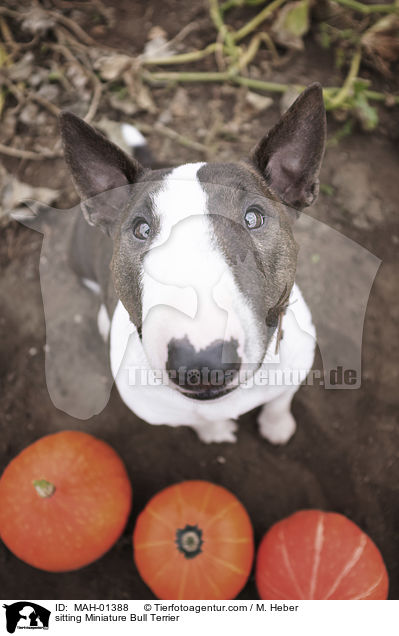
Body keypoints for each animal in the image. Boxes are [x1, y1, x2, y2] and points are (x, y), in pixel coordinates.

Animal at [60, 83, 328, 442]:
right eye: (142, 229)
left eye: (253, 218)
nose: (202, 363)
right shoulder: (162, 412)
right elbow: (198, 420)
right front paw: (216, 431)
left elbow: (281, 397)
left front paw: (277, 426)